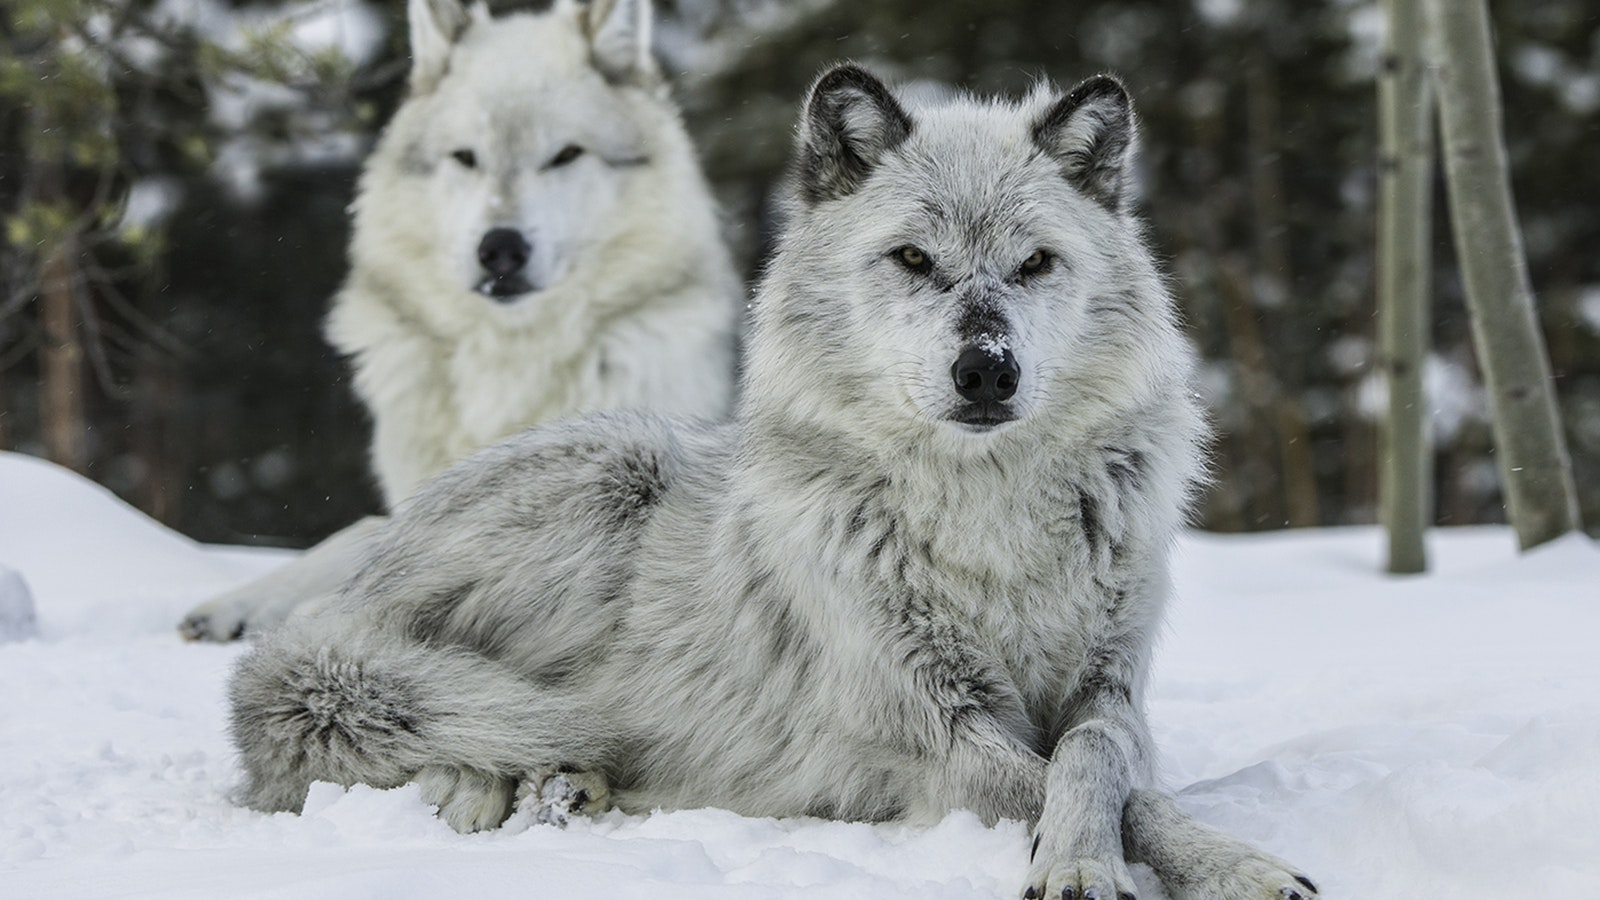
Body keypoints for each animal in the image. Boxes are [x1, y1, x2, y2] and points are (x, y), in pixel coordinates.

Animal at [178, 0, 741, 641]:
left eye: (565, 155)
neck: (508, 366)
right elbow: (361, 533)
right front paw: (242, 602)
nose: (500, 249)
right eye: (466, 158)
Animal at [227, 64, 1318, 900]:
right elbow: (1080, 789)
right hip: (610, 474)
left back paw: (570, 787)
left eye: (1035, 262)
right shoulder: (927, 731)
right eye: (912, 258)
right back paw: (495, 784)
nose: (986, 370)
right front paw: (1102, 867)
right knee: (373, 720)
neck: (985, 519)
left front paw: (1217, 864)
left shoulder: (1110, 691)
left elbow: (1104, 769)